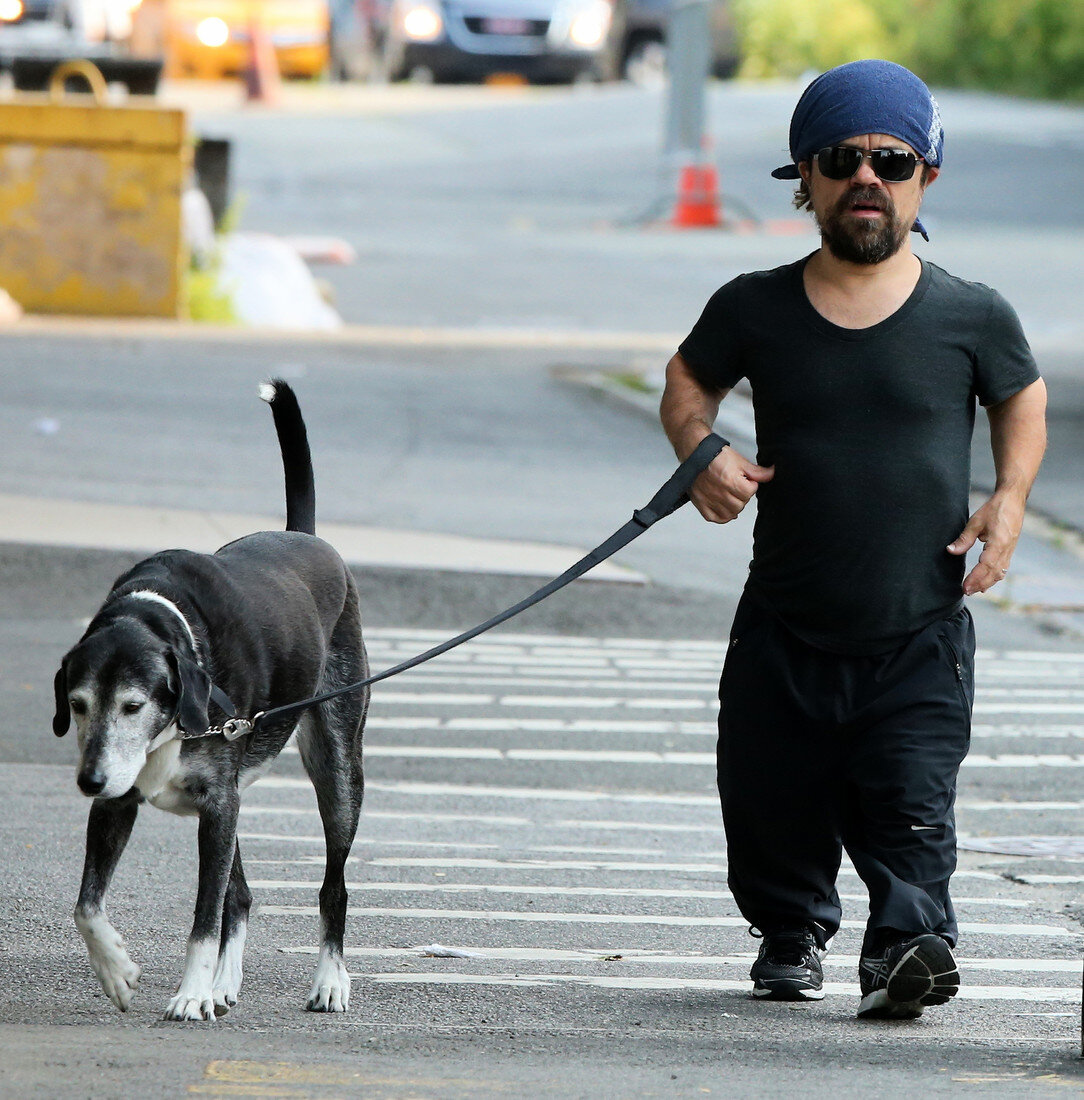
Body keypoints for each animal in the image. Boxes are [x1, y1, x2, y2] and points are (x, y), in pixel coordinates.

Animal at [52, 385, 369, 1020]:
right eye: (77, 704)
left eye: (132, 705)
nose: (89, 780)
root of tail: (308, 536)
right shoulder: (125, 802)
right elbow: (87, 904)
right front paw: (118, 970)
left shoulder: (218, 805)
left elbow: (202, 916)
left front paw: (190, 995)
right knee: (239, 895)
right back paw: (226, 984)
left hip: (337, 765)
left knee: (333, 884)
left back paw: (328, 980)